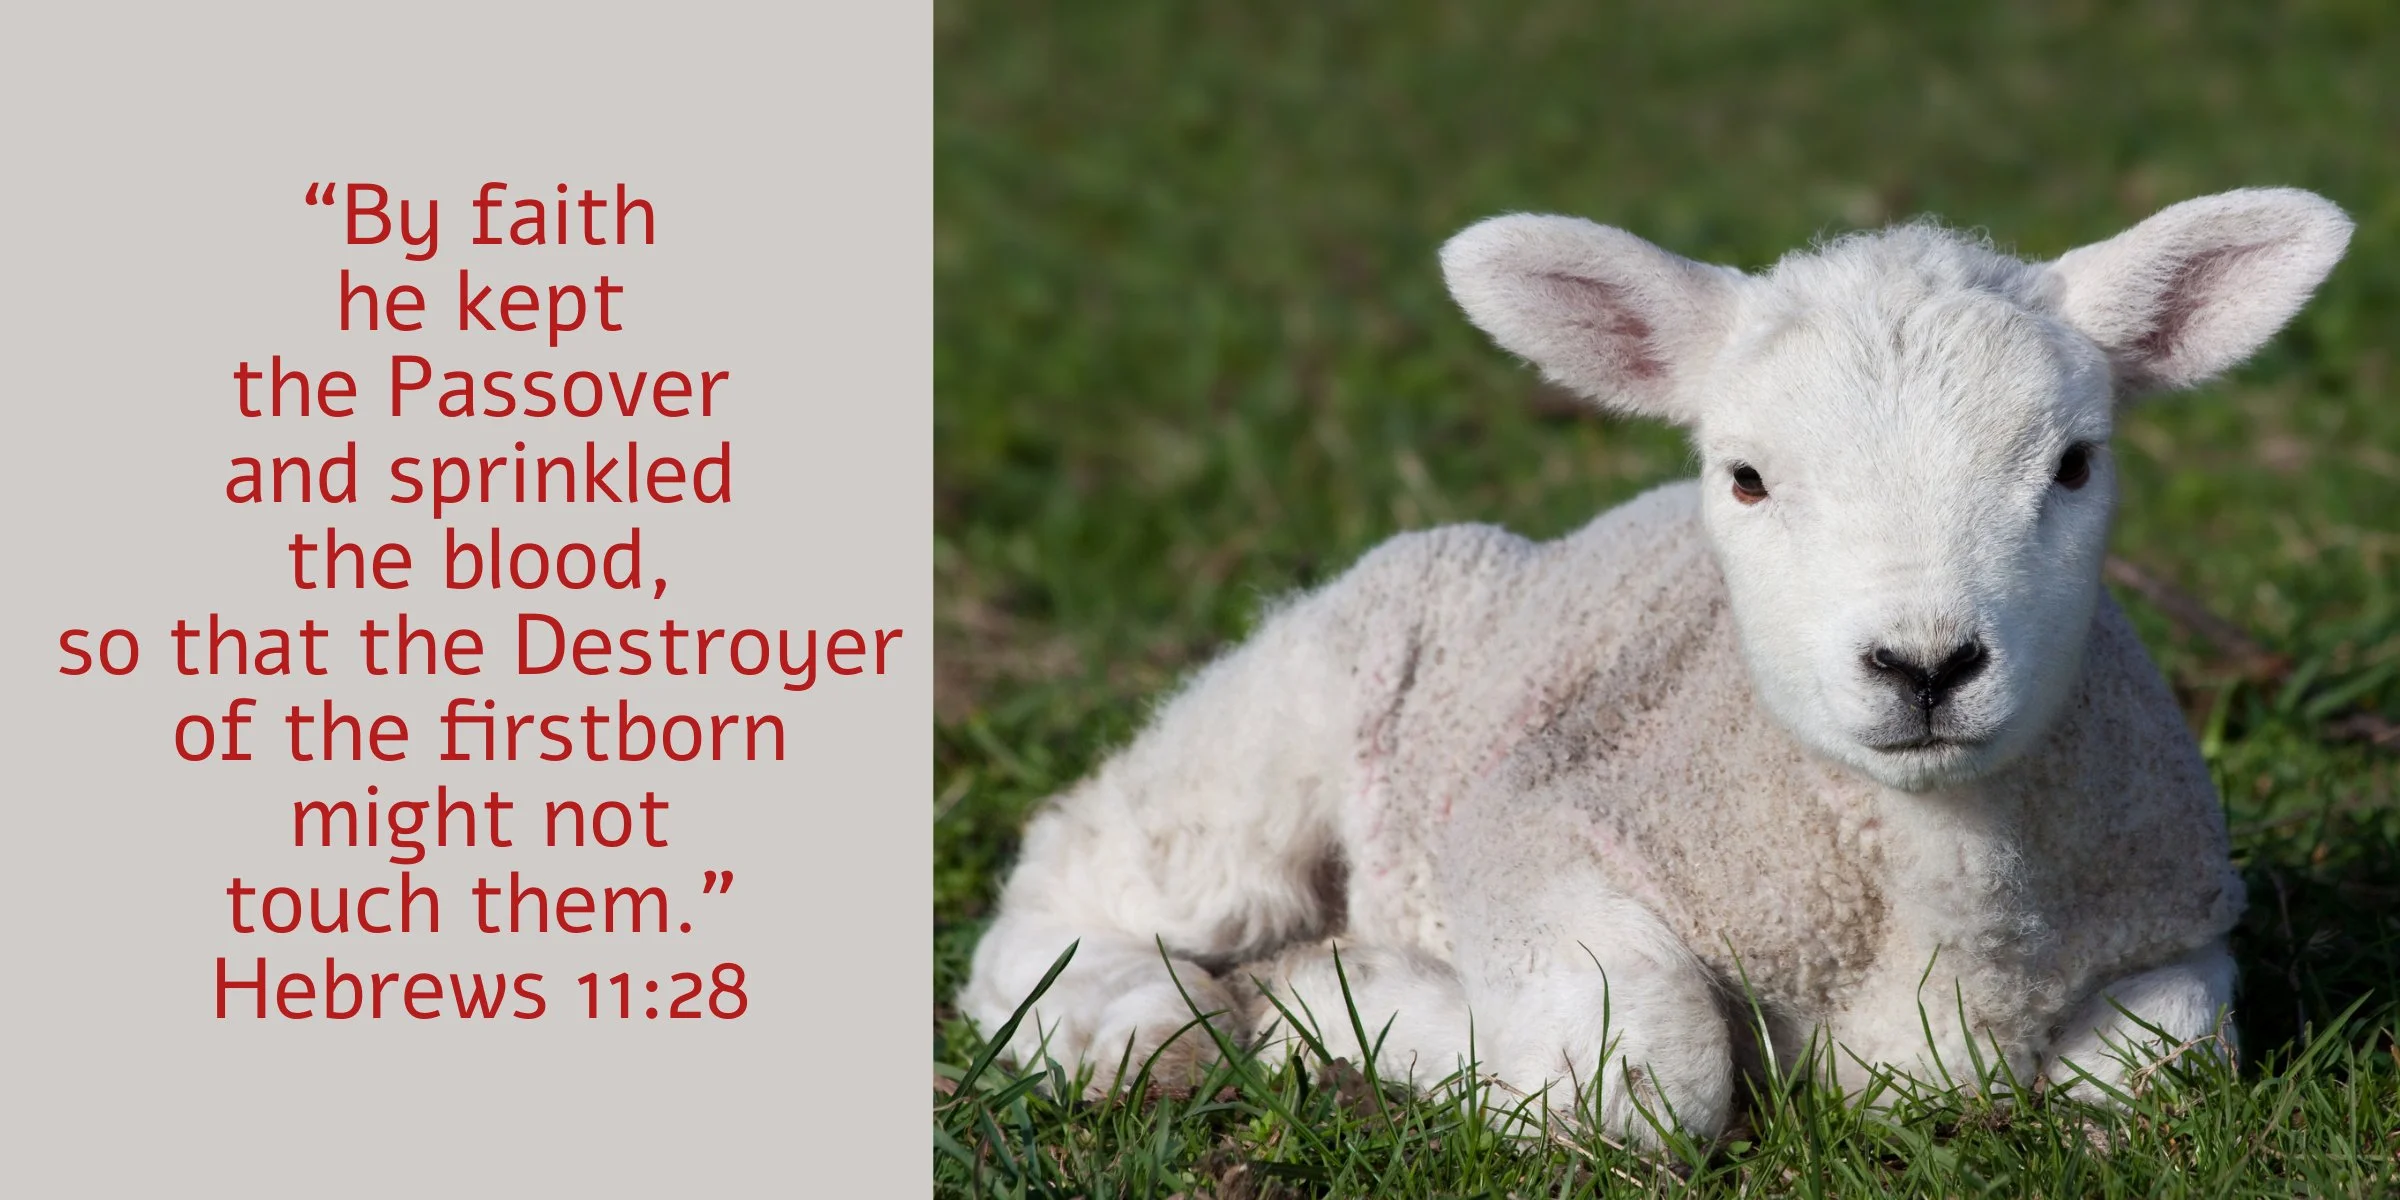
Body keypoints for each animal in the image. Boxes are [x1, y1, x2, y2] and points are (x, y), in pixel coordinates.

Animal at [958, 188, 2352, 1143]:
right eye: (1746, 475)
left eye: (2073, 463)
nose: (1925, 665)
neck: (1928, 882)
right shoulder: (1529, 829)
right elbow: (1636, 1083)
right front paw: (1348, 996)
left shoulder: (2177, 911)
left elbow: (2155, 1071)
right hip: (1287, 721)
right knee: (1079, 876)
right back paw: (1141, 1028)